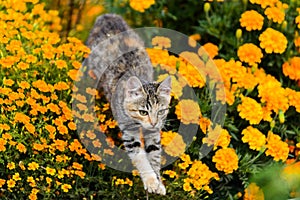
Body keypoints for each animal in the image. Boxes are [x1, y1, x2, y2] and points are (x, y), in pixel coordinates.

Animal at [84, 14, 171, 195]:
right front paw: (151, 181)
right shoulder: (129, 133)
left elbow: (154, 154)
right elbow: (140, 157)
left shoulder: (154, 133)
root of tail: (107, 16)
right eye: (143, 112)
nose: (153, 122)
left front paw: (158, 182)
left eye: (160, 111)